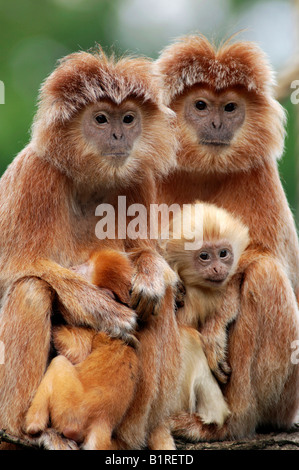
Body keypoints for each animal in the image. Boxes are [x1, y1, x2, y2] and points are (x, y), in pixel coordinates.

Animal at [0, 47, 178, 448]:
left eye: (128, 118)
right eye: (100, 118)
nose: (117, 134)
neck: (89, 182)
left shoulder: (137, 182)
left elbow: (145, 257)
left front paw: (149, 275)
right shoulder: (35, 174)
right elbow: (12, 271)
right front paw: (104, 312)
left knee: (159, 304)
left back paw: (128, 437)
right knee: (31, 289)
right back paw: (25, 430)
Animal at [156, 35, 299, 438]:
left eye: (230, 107)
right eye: (202, 106)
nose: (218, 122)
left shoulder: (258, 175)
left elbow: (268, 259)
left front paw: (216, 328)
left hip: (287, 395)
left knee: (266, 275)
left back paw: (228, 423)